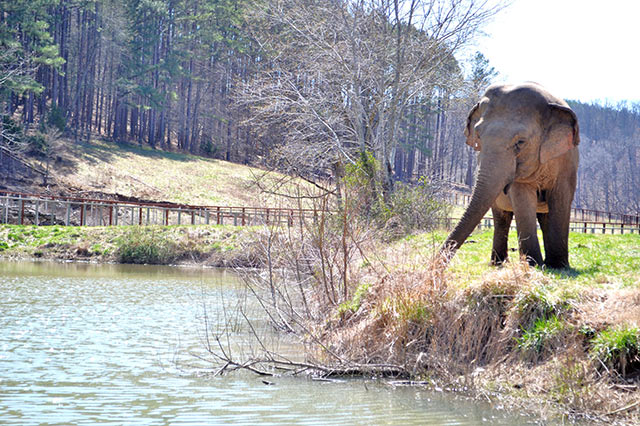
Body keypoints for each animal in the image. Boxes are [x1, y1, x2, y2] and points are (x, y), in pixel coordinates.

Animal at [440, 81, 580, 268]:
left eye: (520, 142)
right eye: (478, 136)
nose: (434, 266)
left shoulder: (567, 161)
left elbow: (561, 200)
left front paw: (558, 266)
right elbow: (523, 199)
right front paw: (533, 264)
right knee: (502, 218)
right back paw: (499, 263)